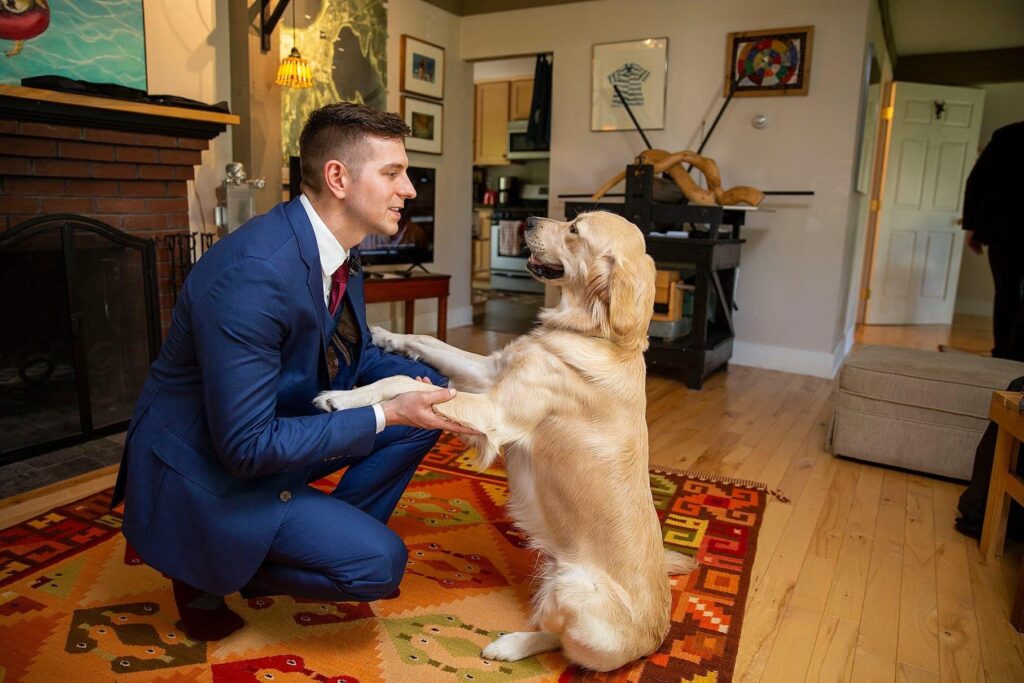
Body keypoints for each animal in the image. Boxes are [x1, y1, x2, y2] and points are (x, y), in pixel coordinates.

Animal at [313, 211, 696, 671]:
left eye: (574, 229)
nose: (526, 218)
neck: (594, 334)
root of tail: (657, 637)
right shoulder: (491, 371)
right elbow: (428, 341)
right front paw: (385, 334)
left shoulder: (494, 412)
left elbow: (402, 381)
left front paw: (342, 398)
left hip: (574, 591)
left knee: (562, 643)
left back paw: (509, 646)